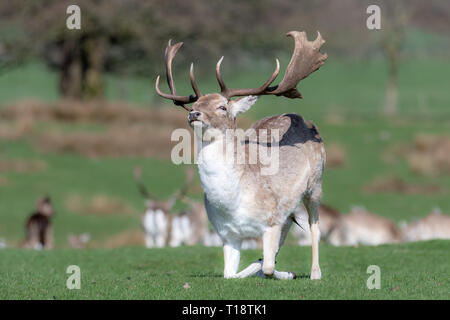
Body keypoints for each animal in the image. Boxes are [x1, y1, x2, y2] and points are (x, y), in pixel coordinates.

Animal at [156, 30, 328, 280]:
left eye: (222, 107)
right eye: (196, 104)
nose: (194, 114)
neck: (234, 203)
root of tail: (302, 118)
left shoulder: (271, 220)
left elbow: (268, 266)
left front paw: (283, 271)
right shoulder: (227, 233)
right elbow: (230, 273)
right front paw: (266, 267)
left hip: (315, 184)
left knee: (315, 226)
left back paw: (315, 273)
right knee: (290, 225)